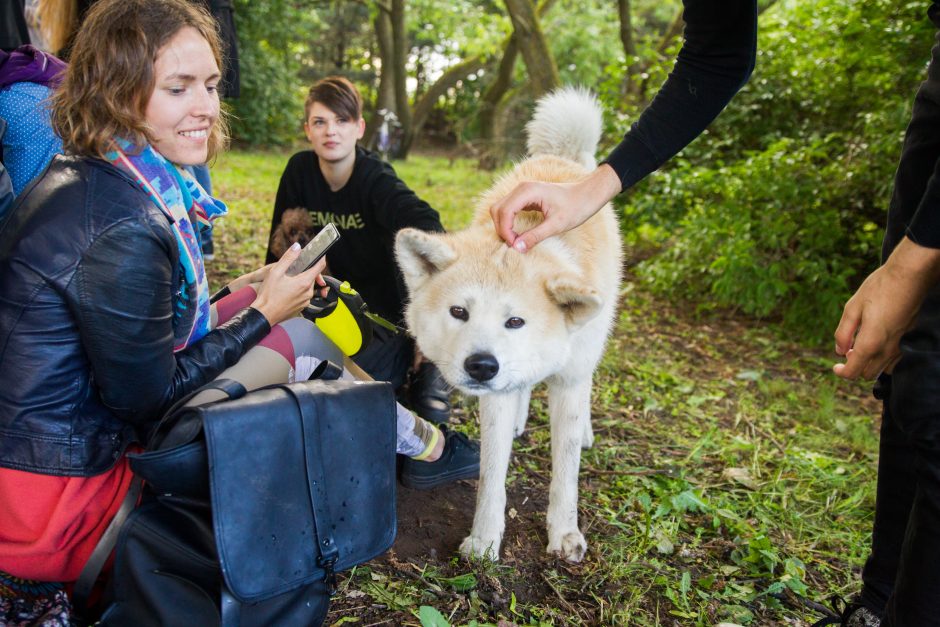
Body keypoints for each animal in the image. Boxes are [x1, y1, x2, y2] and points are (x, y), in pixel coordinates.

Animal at [392, 86, 620, 560]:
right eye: (459, 312)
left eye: (516, 321)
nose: (482, 366)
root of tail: (561, 158)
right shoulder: (493, 398)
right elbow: (492, 473)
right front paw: (484, 538)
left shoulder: (568, 383)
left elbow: (566, 470)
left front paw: (563, 532)